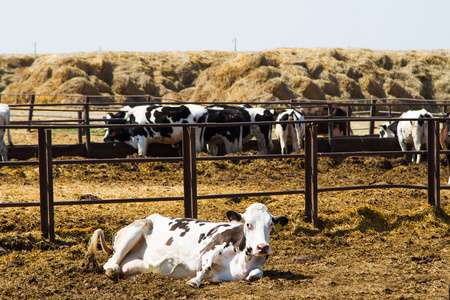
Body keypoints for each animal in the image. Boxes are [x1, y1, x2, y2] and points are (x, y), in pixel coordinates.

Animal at [86, 203, 288, 288]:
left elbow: (256, 274)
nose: (262, 247)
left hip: (135, 267)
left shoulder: (255, 267)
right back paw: (112, 269)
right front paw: (195, 281)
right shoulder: (208, 249)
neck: (242, 261)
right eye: (248, 224)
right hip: (138, 229)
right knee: (110, 264)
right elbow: (205, 267)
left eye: (270, 225)